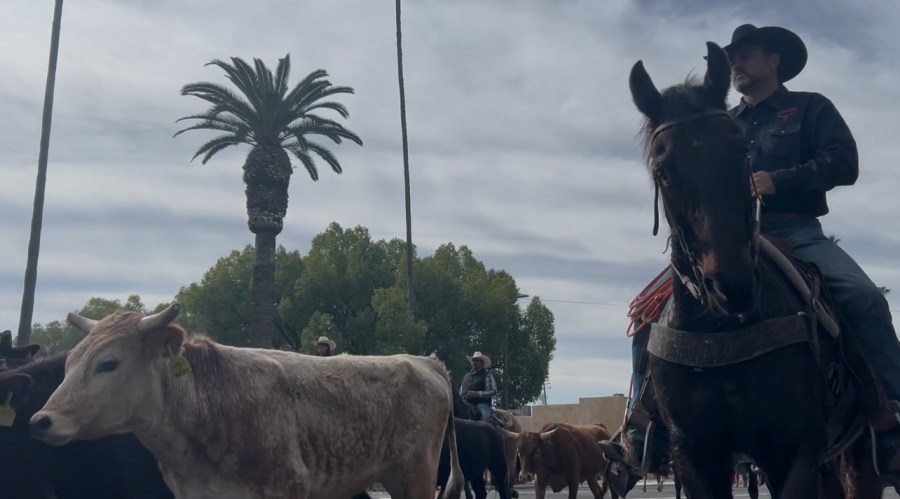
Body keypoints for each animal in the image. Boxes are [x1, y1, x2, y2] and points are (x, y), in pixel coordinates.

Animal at [28, 304, 464, 499]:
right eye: (68, 362)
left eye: (109, 363)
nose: (41, 420)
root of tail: (425, 360)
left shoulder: (286, 489)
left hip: (416, 476)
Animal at [624, 41, 892, 498]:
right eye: (664, 171)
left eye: (741, 152)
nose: (731, 285)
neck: (719, 332)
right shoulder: (694, 456)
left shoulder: (793, 451)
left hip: (859, 456)